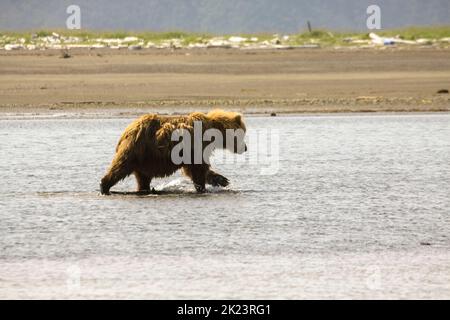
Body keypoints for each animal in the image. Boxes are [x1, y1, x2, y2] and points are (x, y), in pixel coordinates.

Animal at [99, 109, 246, 195]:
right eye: (243, 134)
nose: (245, 148)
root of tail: (127, 130)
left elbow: (195, 168)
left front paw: (222, 180)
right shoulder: (196, 145)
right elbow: (198, 168)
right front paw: (202, 188)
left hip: (144, 159)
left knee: (142, 178)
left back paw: (143, 189)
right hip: (137, 149)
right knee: (120, 166)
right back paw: (104, 186)